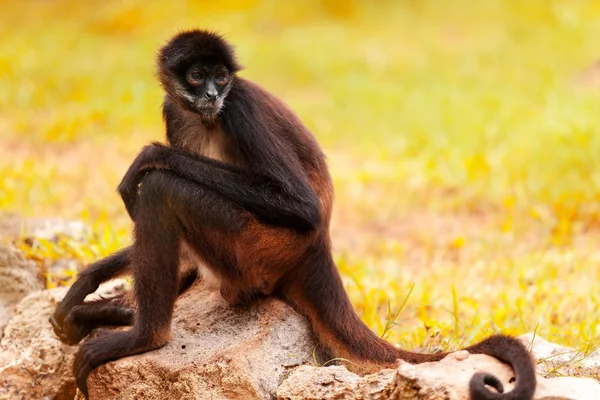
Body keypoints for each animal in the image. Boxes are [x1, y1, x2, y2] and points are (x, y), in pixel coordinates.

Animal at [49, 29, 536, 398]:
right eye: (197, 75)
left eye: (221, 77)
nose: (212, 93)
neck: (206, 116)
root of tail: (318, 250)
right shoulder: (174, 109)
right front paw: (85, 284)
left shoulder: (239, 106)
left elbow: (300, 205)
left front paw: (150, 156)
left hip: (257, 249)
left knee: (161, 189)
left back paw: (145, 336)